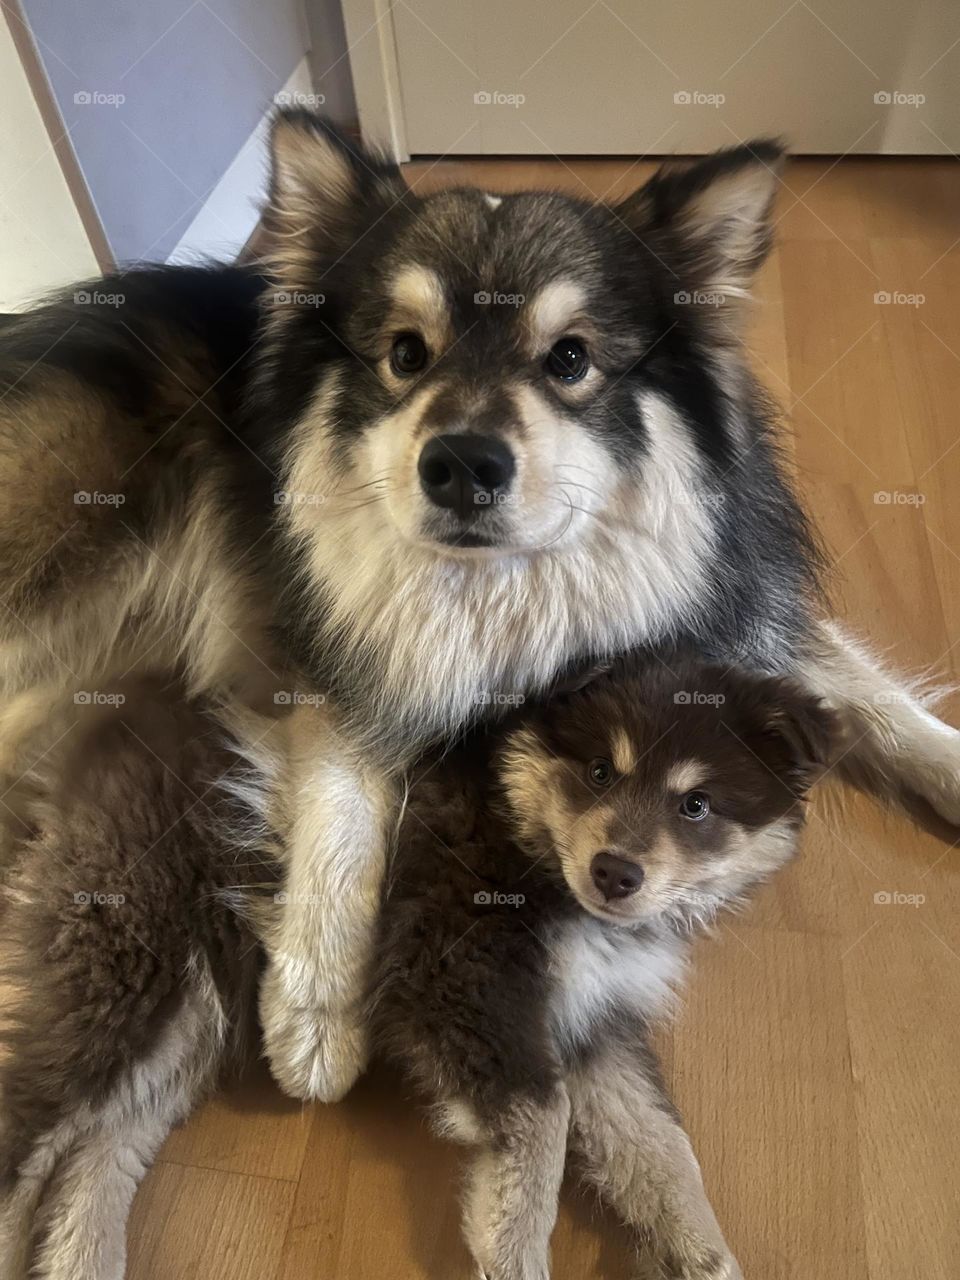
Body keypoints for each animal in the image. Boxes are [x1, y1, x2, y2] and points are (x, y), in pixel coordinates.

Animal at [0, 117, 957, 1111]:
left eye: (570, 358)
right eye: (405, 354)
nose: (461, 464)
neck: (498, 589)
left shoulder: (728, 614)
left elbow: (870, 697)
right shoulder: (332, 668)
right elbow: (344, 817)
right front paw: (319, 1010)